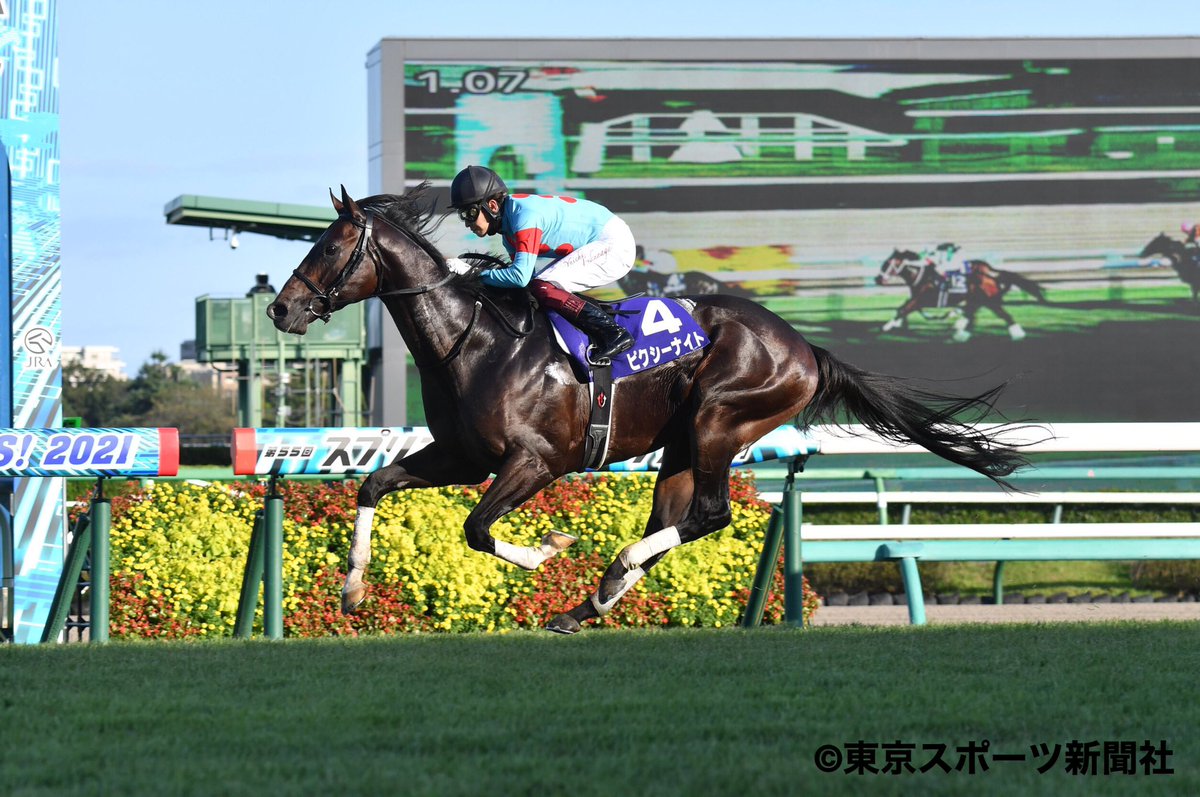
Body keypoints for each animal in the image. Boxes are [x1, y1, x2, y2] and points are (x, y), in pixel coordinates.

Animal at [876, 248, 1049, 342]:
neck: (922, 276)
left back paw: (1018, 335)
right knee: (972, 316)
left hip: (989, 301)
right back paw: (960, 334)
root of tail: (991, 273)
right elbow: (902, 308)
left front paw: (886, 327)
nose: (877, 278)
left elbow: (902, 309)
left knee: (1004, 316)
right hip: (978, 300)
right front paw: (897, 325)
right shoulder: (917, 300)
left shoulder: (921, 300)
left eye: (887, 264)